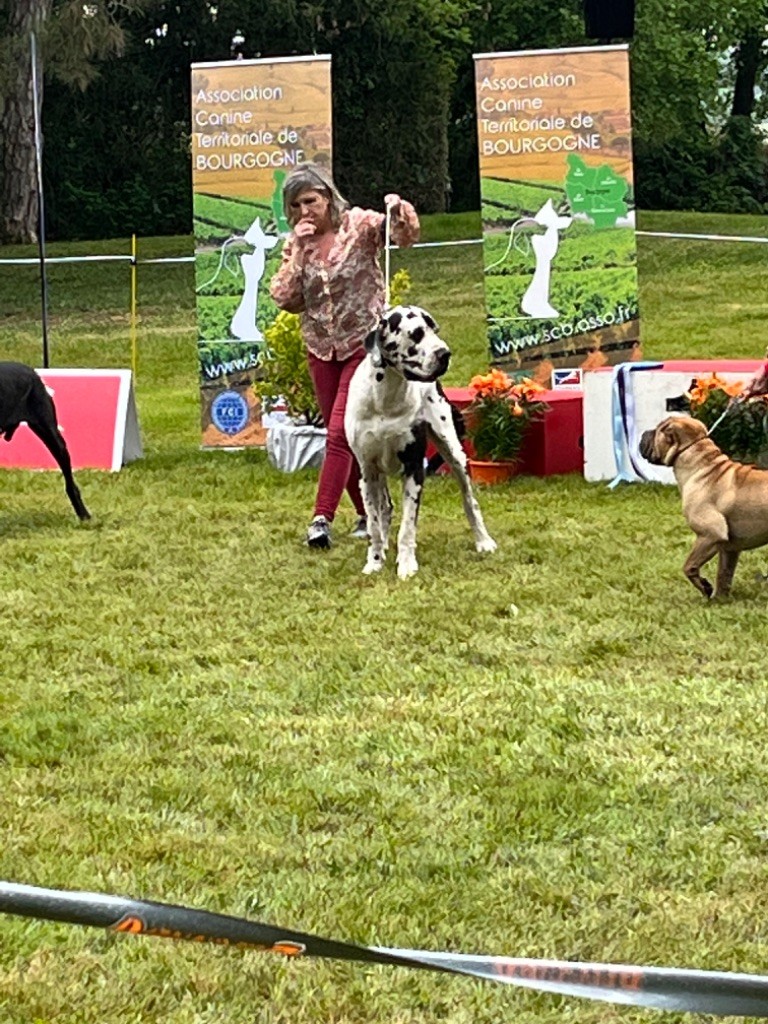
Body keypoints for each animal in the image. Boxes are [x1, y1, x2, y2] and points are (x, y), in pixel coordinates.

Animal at [344, 305, 497, 578]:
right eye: (416, 334)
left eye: (434, 330)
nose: (445, 353)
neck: (386, 397)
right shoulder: (367, 472)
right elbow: (373, 523)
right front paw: (374, 561)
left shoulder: (414, 468)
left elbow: (407, 527)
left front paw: (406, 565)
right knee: (384, 509)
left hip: (455, 454)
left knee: (470, 502)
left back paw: (483, 540)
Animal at [639, 414, 768, 598]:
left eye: (658, 430)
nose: (644, 433)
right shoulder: (729, 549)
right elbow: (724, 574)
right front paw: (719, 599)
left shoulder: (710, 534)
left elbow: (688, 566)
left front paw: (705, 587)